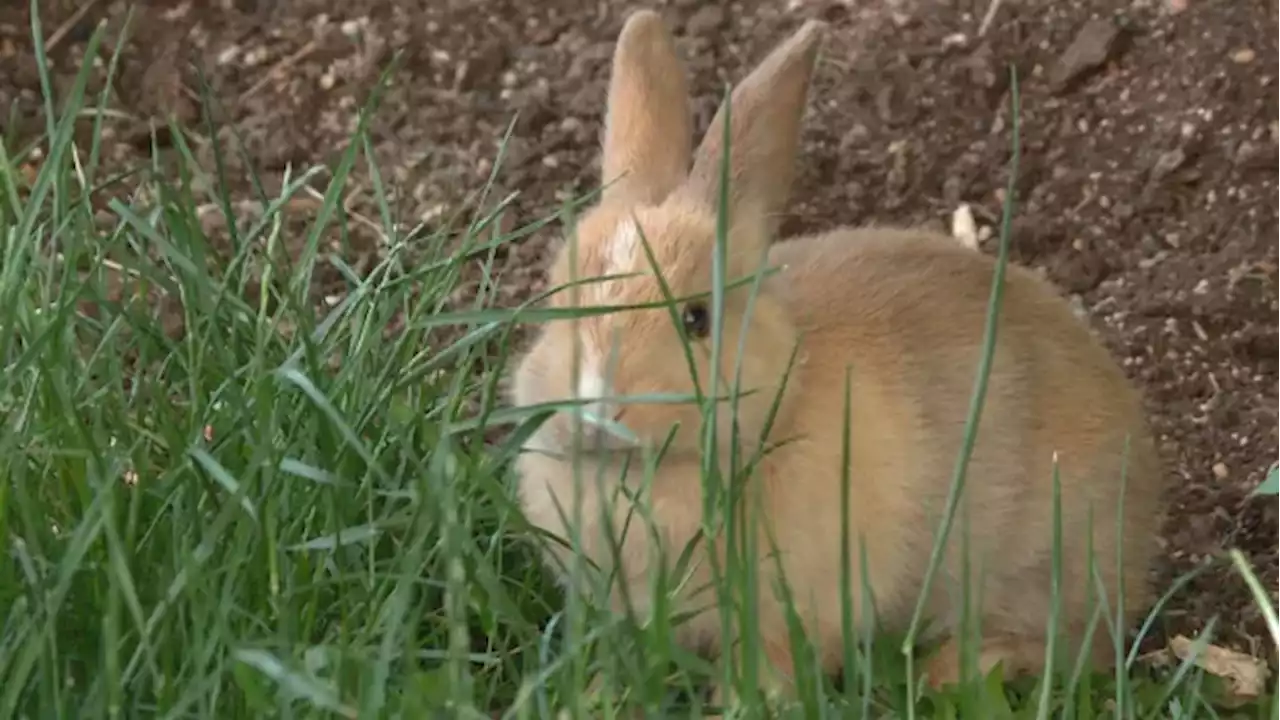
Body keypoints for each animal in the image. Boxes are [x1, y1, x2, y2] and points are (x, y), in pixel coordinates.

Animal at [504, 8, 1167, 707]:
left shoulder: (791, 615)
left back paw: (946, 670)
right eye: (556, 294)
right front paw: (591, 696)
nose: (595, 408)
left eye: (697, 319)